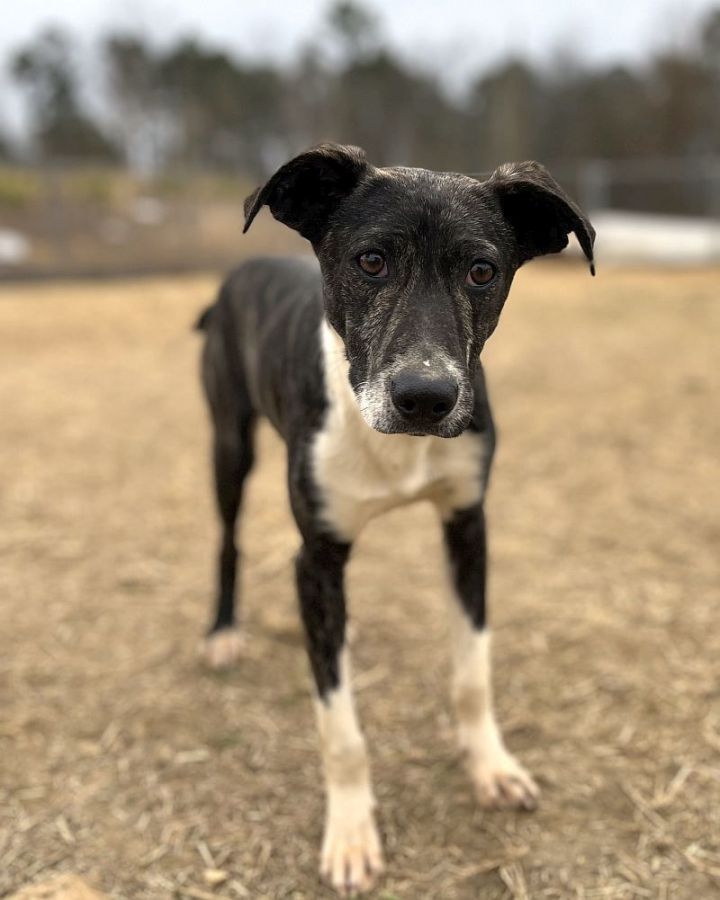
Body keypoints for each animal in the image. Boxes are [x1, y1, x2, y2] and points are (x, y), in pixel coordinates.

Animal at [197, 144, 596, 896]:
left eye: (482, 270)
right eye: (371, 261)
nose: (426, 397)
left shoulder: (468, 525)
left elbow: (473, 671)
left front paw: (491, 768)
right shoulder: (320, 554)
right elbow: (340, 726)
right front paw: (352, 835)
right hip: (229, 444)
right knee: (228, 539)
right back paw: (224, 632)